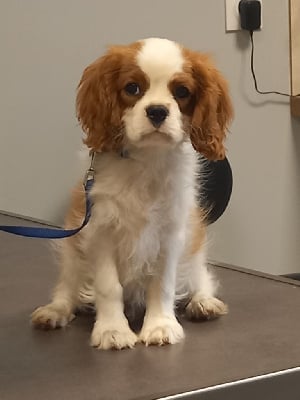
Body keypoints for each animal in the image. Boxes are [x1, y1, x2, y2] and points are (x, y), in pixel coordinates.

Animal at [31, 38, 233, 350]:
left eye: (182, 92)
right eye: (132, 88)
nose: (157, 111)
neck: (145, 160)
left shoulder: (170, 235)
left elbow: (163, 284)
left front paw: (160, 326)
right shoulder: (99, 231)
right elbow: (108, 286)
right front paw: (112, 330)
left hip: (194, 244)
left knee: (200, 276)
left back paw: (204, 302)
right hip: (71, 250)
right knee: (67, 286)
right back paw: (55, 310)